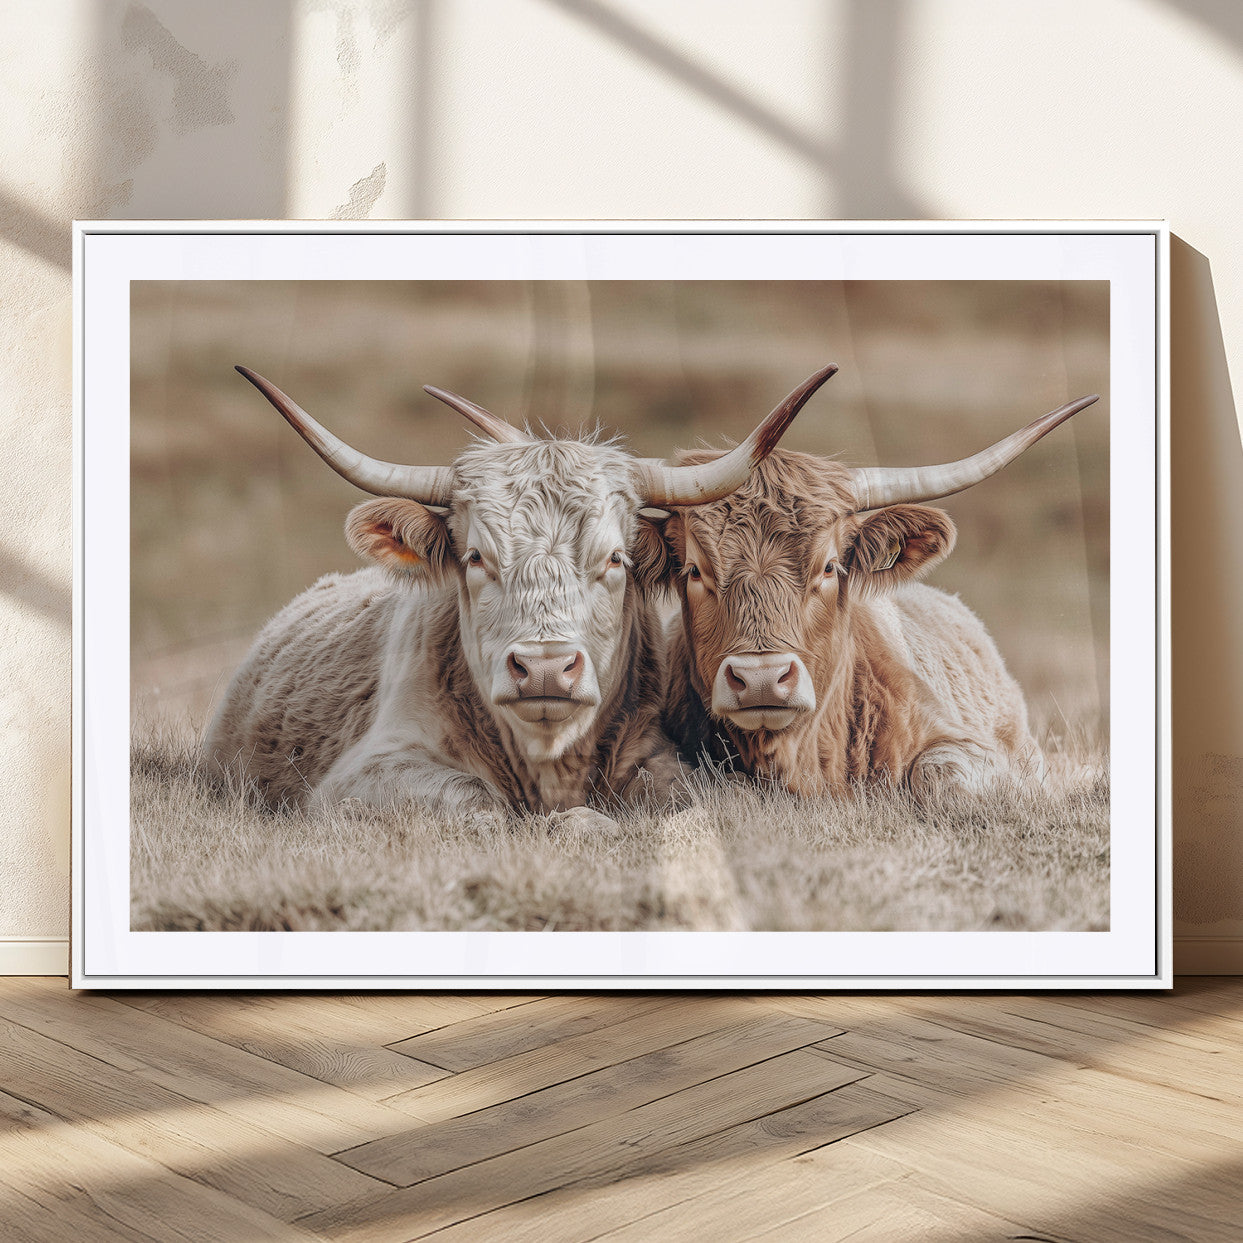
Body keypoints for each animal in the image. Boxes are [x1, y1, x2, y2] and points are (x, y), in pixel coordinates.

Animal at [202, 364, 836, 822]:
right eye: (476, 557)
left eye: (615, 558)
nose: (545, 668)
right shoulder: (365, 774)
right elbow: (477, 803)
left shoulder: (661, 757)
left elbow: (706, 797)